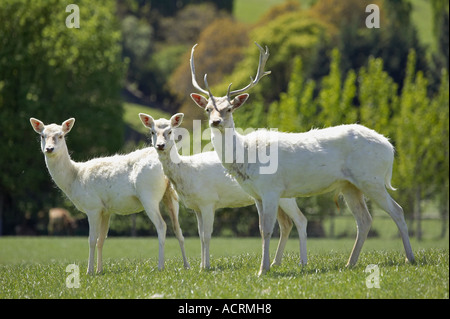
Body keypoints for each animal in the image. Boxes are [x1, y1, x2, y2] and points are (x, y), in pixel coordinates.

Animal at [29, 118, 189, 276]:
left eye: (61, 135)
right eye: (42, 136)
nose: (49, 149)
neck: (74, 179)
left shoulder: (92, 206)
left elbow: (92, 239)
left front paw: (89, 271)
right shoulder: (106, 210)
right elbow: (101, 239)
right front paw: (99, 270)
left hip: (149, 195)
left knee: (162, 225)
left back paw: (160, 266)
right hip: (171, 195)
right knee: (178, 228)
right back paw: (186, 266)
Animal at [137, 112, 306, 270]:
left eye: (170, 131)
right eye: (152, 132)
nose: (160, 145)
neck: (187, 172)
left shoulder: (208, 201)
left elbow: (206, 235)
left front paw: (206, 267)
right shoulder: (197, 206)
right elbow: (200, 235)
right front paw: (201, 265)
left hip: (283, 193)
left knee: (300, 220)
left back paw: (301, 263)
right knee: (286, 224)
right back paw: (275, 262)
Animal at [189, 43, 414, 278]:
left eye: (229, 108)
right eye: (208, 109)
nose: (216, 122)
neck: (245, 157)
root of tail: (390, 147)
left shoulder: (271, 188)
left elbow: (267, 229)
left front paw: (262, 270)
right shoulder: (257, 195)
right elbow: (261, 228)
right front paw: (266, 266)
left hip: (371, 178)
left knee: (397, 211)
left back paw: (410, 258)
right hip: (350, 185)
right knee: (364, 220)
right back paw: (349, 263)